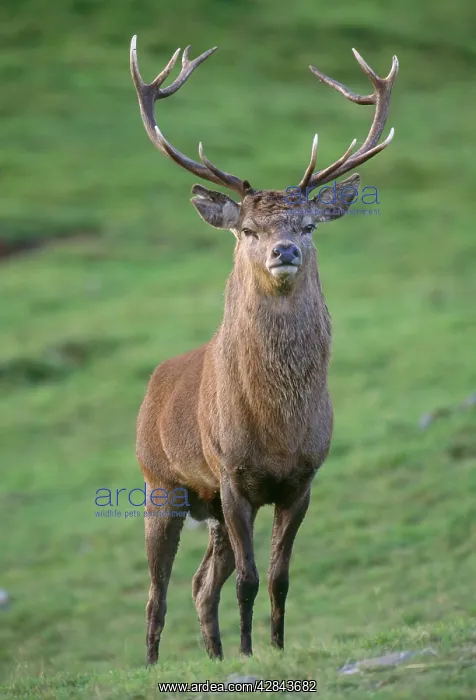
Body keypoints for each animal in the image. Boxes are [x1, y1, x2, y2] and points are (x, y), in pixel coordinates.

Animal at [130, 35, 398, 665]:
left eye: (309, 226)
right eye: (248, 230)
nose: (283, 251)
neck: (277, 427)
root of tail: (154, 383)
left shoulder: (301, 480)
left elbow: (278, 577)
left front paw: (273, 647)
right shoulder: (232, 474)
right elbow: (250, 581)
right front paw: (252, 653)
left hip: (207, 506)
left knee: (201, 584)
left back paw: (214, 655)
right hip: (161, 482)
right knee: (157, 592)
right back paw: (152, 664)